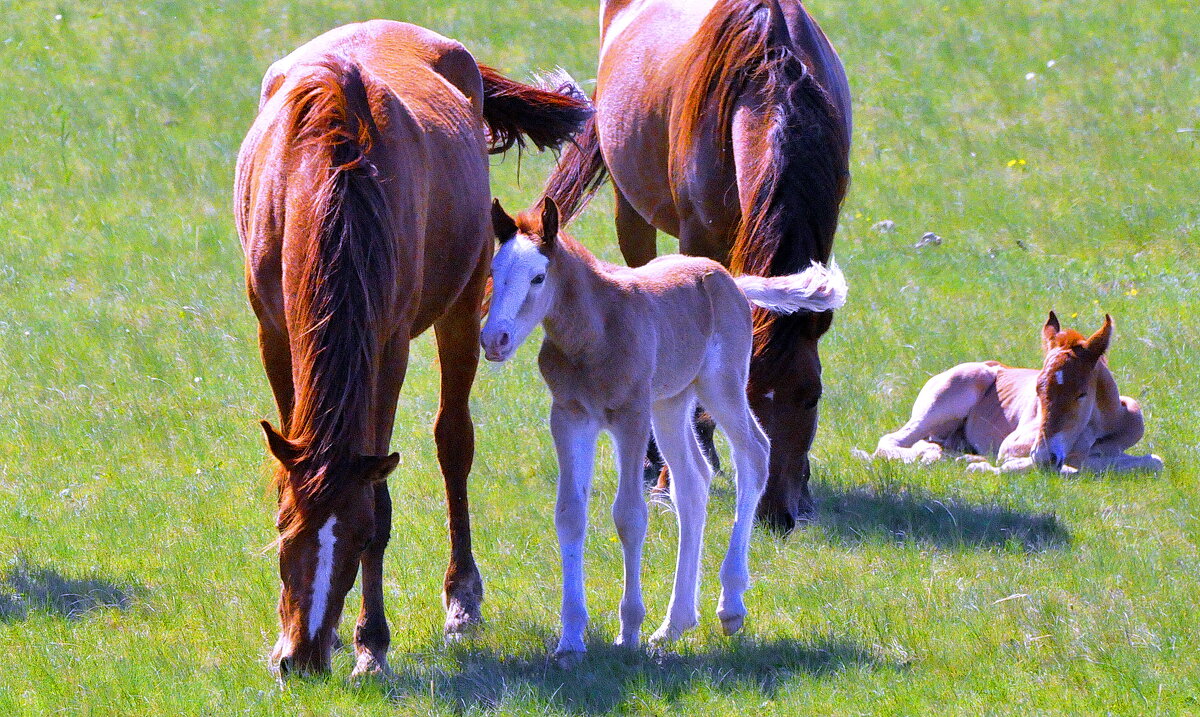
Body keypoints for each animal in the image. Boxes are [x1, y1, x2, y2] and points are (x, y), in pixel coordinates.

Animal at [231, 18, 588, 681]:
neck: (328, 183)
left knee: (454, 442)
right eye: (284, 532)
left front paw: (371, 643)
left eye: (353, 540)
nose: (303, 658)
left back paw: (462, 595)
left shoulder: (388, 347)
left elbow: (381, 495)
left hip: (462, 306)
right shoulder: (275, 334)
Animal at [477, 199, 844, 666]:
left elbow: (630, 515)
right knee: (693, 481)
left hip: (719, 386)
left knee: (755, 453)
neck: (595, 332)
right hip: (670, 404)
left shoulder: (630, 417)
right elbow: (570, 515)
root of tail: (729, 279)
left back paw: (730, 606)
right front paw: (571, 639)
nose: (495, 339)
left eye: (538, 277)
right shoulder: (570, 417)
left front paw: (628, 631)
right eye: (494, 271)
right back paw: (675, 624)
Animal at [544, 0, 854, 534]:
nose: (774, 515)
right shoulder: (698, 237)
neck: (772, 85)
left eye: (812, 396)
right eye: (748, 394)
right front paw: (670, 481)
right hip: (632, 210)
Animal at [873, 314, 1161, 477]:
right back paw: (933, 455)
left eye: (1082, 394)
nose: (1046, 457)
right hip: (947, 400)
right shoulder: (1014, 444)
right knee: (892, 441)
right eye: (1037, 390)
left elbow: (1154, 462)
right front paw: (980, 465)